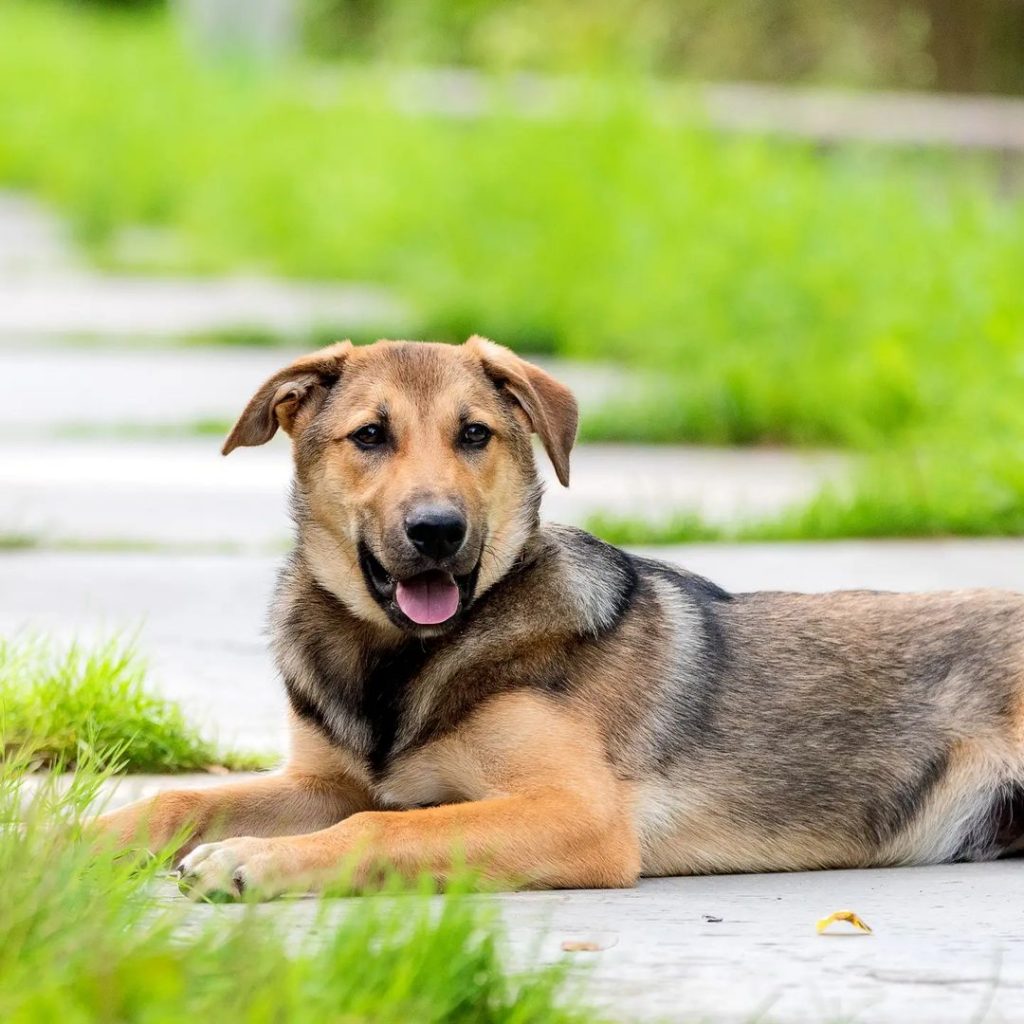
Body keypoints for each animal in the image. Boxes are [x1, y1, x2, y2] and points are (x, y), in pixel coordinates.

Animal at [94, 333, 1024, 897]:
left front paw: (254, 861)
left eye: (475, 435)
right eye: (370, 436)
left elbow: (383, 828)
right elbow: (180, 801)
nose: (438, 531)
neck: (401, 661)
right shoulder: (321, 781)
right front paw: (72, 840)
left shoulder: (576, 814)